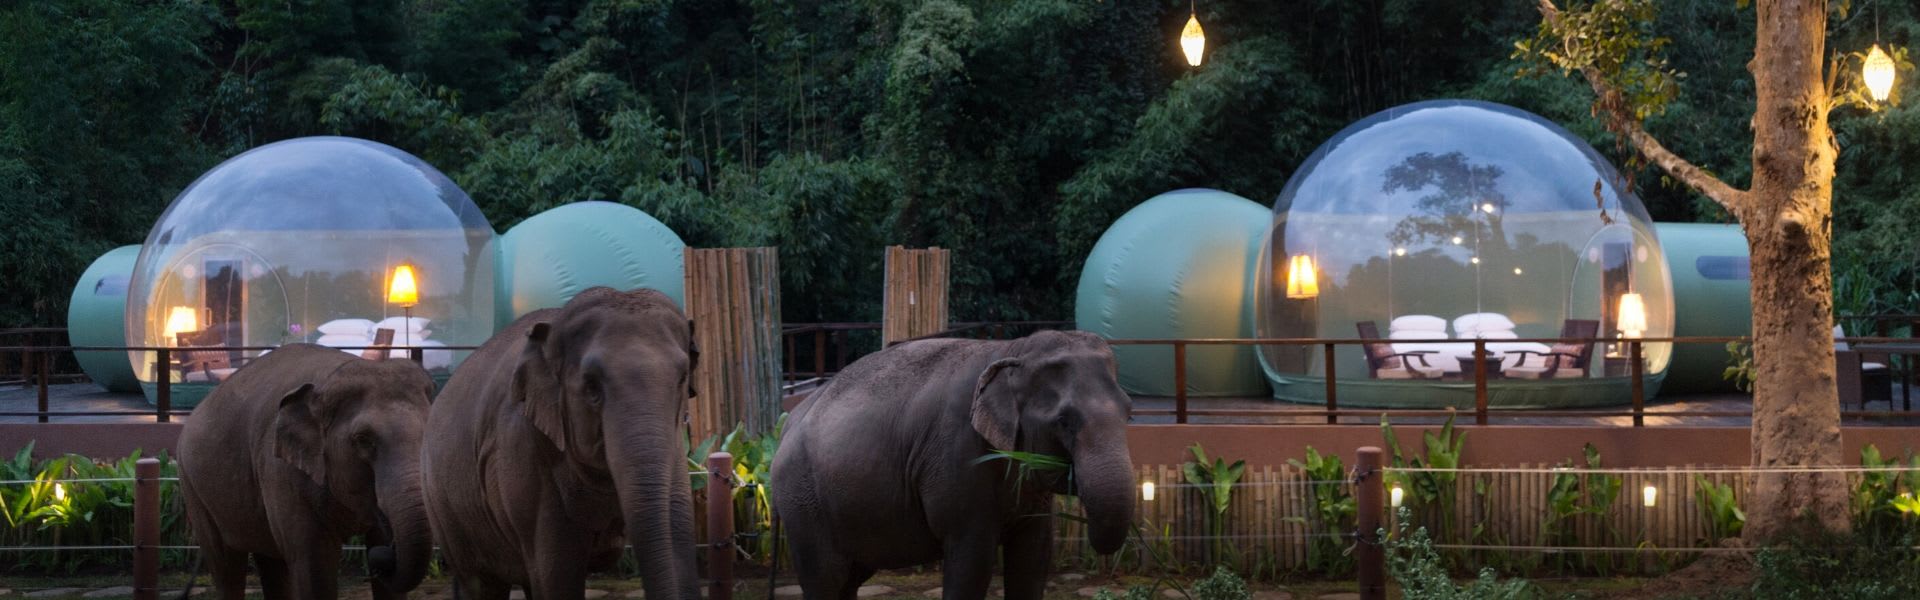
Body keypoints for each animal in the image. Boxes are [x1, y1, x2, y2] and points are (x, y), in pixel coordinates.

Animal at [176, 343, 437, 600]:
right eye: (363, 439)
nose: (382, 560)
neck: (330, 378)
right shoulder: (282, 473)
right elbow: (314, 565)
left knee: (272, 563)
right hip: (193, 487)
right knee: (227, 566)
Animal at [422, 287, 701, 600]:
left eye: (682, 378)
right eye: (591, 386)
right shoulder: (522, 448)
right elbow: (557, 575)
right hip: (444, 509)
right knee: (481, 583)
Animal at [770, 330, 1136, 600]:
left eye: (1129, 412)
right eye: (1064, 421)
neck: (1011, 349)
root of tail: (784, 426)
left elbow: (1033, 556)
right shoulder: (958, 455)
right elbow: (971, 561)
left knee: (849, 579)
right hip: (804, 505)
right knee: (826, 579)